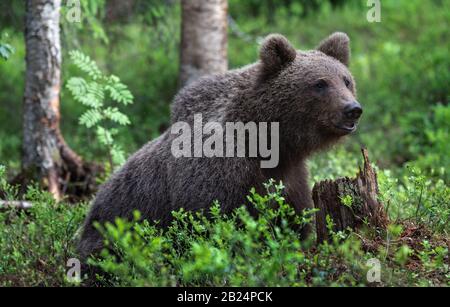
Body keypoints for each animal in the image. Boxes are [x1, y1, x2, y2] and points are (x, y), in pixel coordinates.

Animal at [77, 32, 362, 260]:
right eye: (320, 83)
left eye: (346, 80)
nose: (353, 109)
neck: (269, 141)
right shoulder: (218, 169)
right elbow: (215, 224)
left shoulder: (291, 173)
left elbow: (293, 217)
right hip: (111, 229)